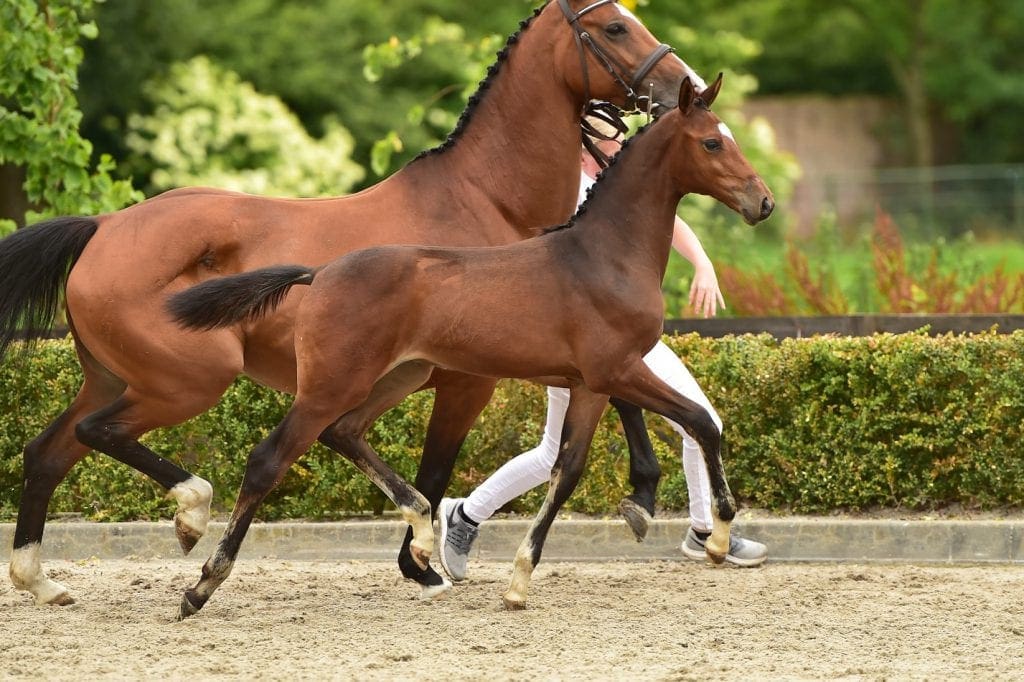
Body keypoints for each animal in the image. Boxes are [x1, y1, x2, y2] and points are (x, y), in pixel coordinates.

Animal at [0, 0, 695, 606]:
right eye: (614, 26)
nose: (680, 85)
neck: (488, 200)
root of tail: (102, 228)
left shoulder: (564, 350)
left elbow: (621, 397)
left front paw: (641, 498)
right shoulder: (470, 379)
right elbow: (437, 469)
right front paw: (422, 565)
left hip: (115, 378)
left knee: (47, 453)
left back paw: (43, 582)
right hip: (191, 379)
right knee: (99, 434)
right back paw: (191, 515)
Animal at [167, 74, 775, 617]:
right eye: (713, 142)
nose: (763, 203)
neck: (603, 256)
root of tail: (319, 274)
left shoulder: (589, 384)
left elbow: (570, 469)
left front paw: (519, 582)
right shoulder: (617, 371)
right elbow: (699, 422)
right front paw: (720, 538)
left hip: (397, 377)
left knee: (344, 433)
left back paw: (422, 537)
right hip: (332, 384)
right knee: (269, 459)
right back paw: (201, 587)